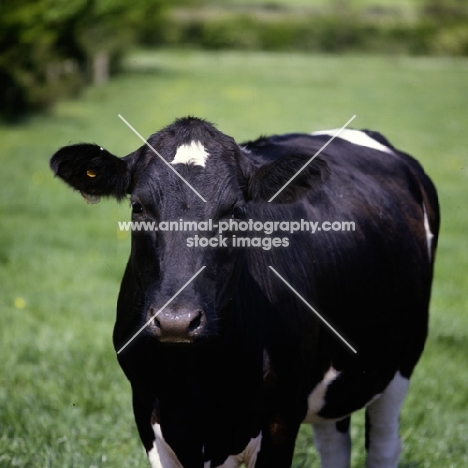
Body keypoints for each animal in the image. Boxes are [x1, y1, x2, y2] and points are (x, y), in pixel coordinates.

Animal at [51, 118, 438, 468]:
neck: (195, 380)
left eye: (234, 212)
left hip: (401, 362)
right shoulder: (147, 410)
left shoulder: (282, 416)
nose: (176, 321)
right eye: (138, 207)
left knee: (384, 447)